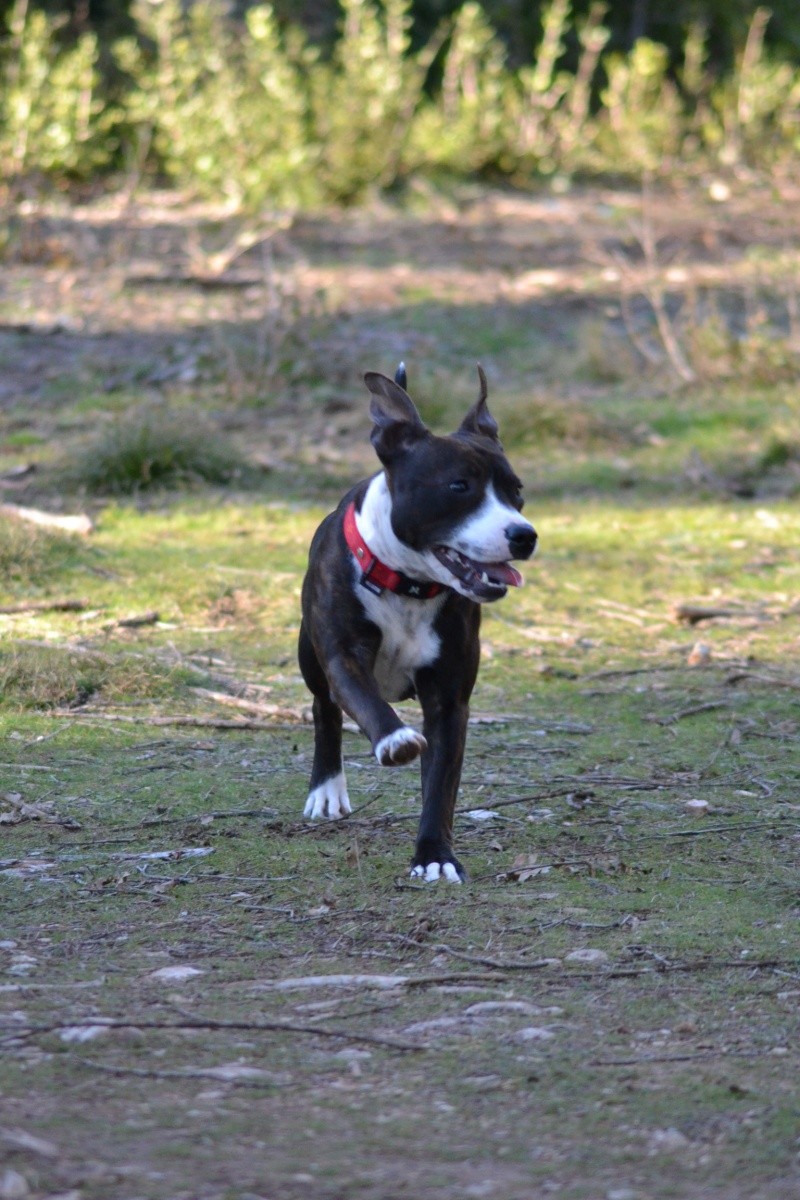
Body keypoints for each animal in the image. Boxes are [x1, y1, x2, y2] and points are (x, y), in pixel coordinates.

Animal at [297, 364, 534, 883]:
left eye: (517, 492)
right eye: (459, 486)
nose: (524, 535)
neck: (408, 585)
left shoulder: (449, 701)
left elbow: (440, 786)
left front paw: (434, 855)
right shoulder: (342, 656)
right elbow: (363, 700)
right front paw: (396, 738)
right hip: (308, 655)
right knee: (324, 708)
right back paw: (327, 788)